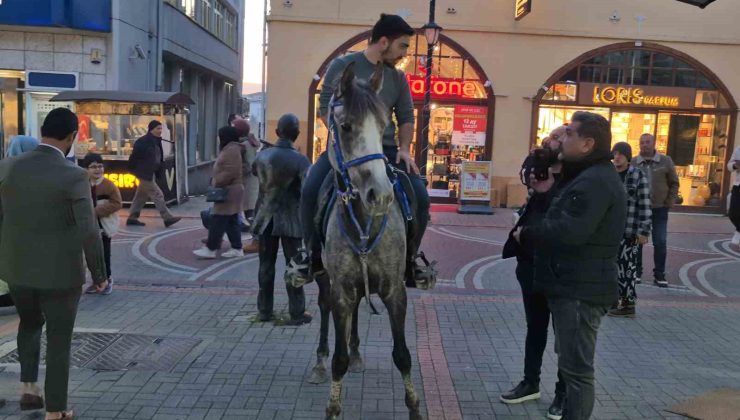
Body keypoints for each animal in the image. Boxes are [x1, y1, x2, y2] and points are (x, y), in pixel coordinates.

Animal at [316, 63, 422, 420]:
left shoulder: (395, 291)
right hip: (324, 279)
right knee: (322, 308)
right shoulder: (340, 290)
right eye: (346, 126)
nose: (382, 196)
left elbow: (403, 355)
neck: (364, 221)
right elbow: (338, 359)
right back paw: (319, 360)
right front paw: (333, 406)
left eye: (384, 126)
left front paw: (414, 407)